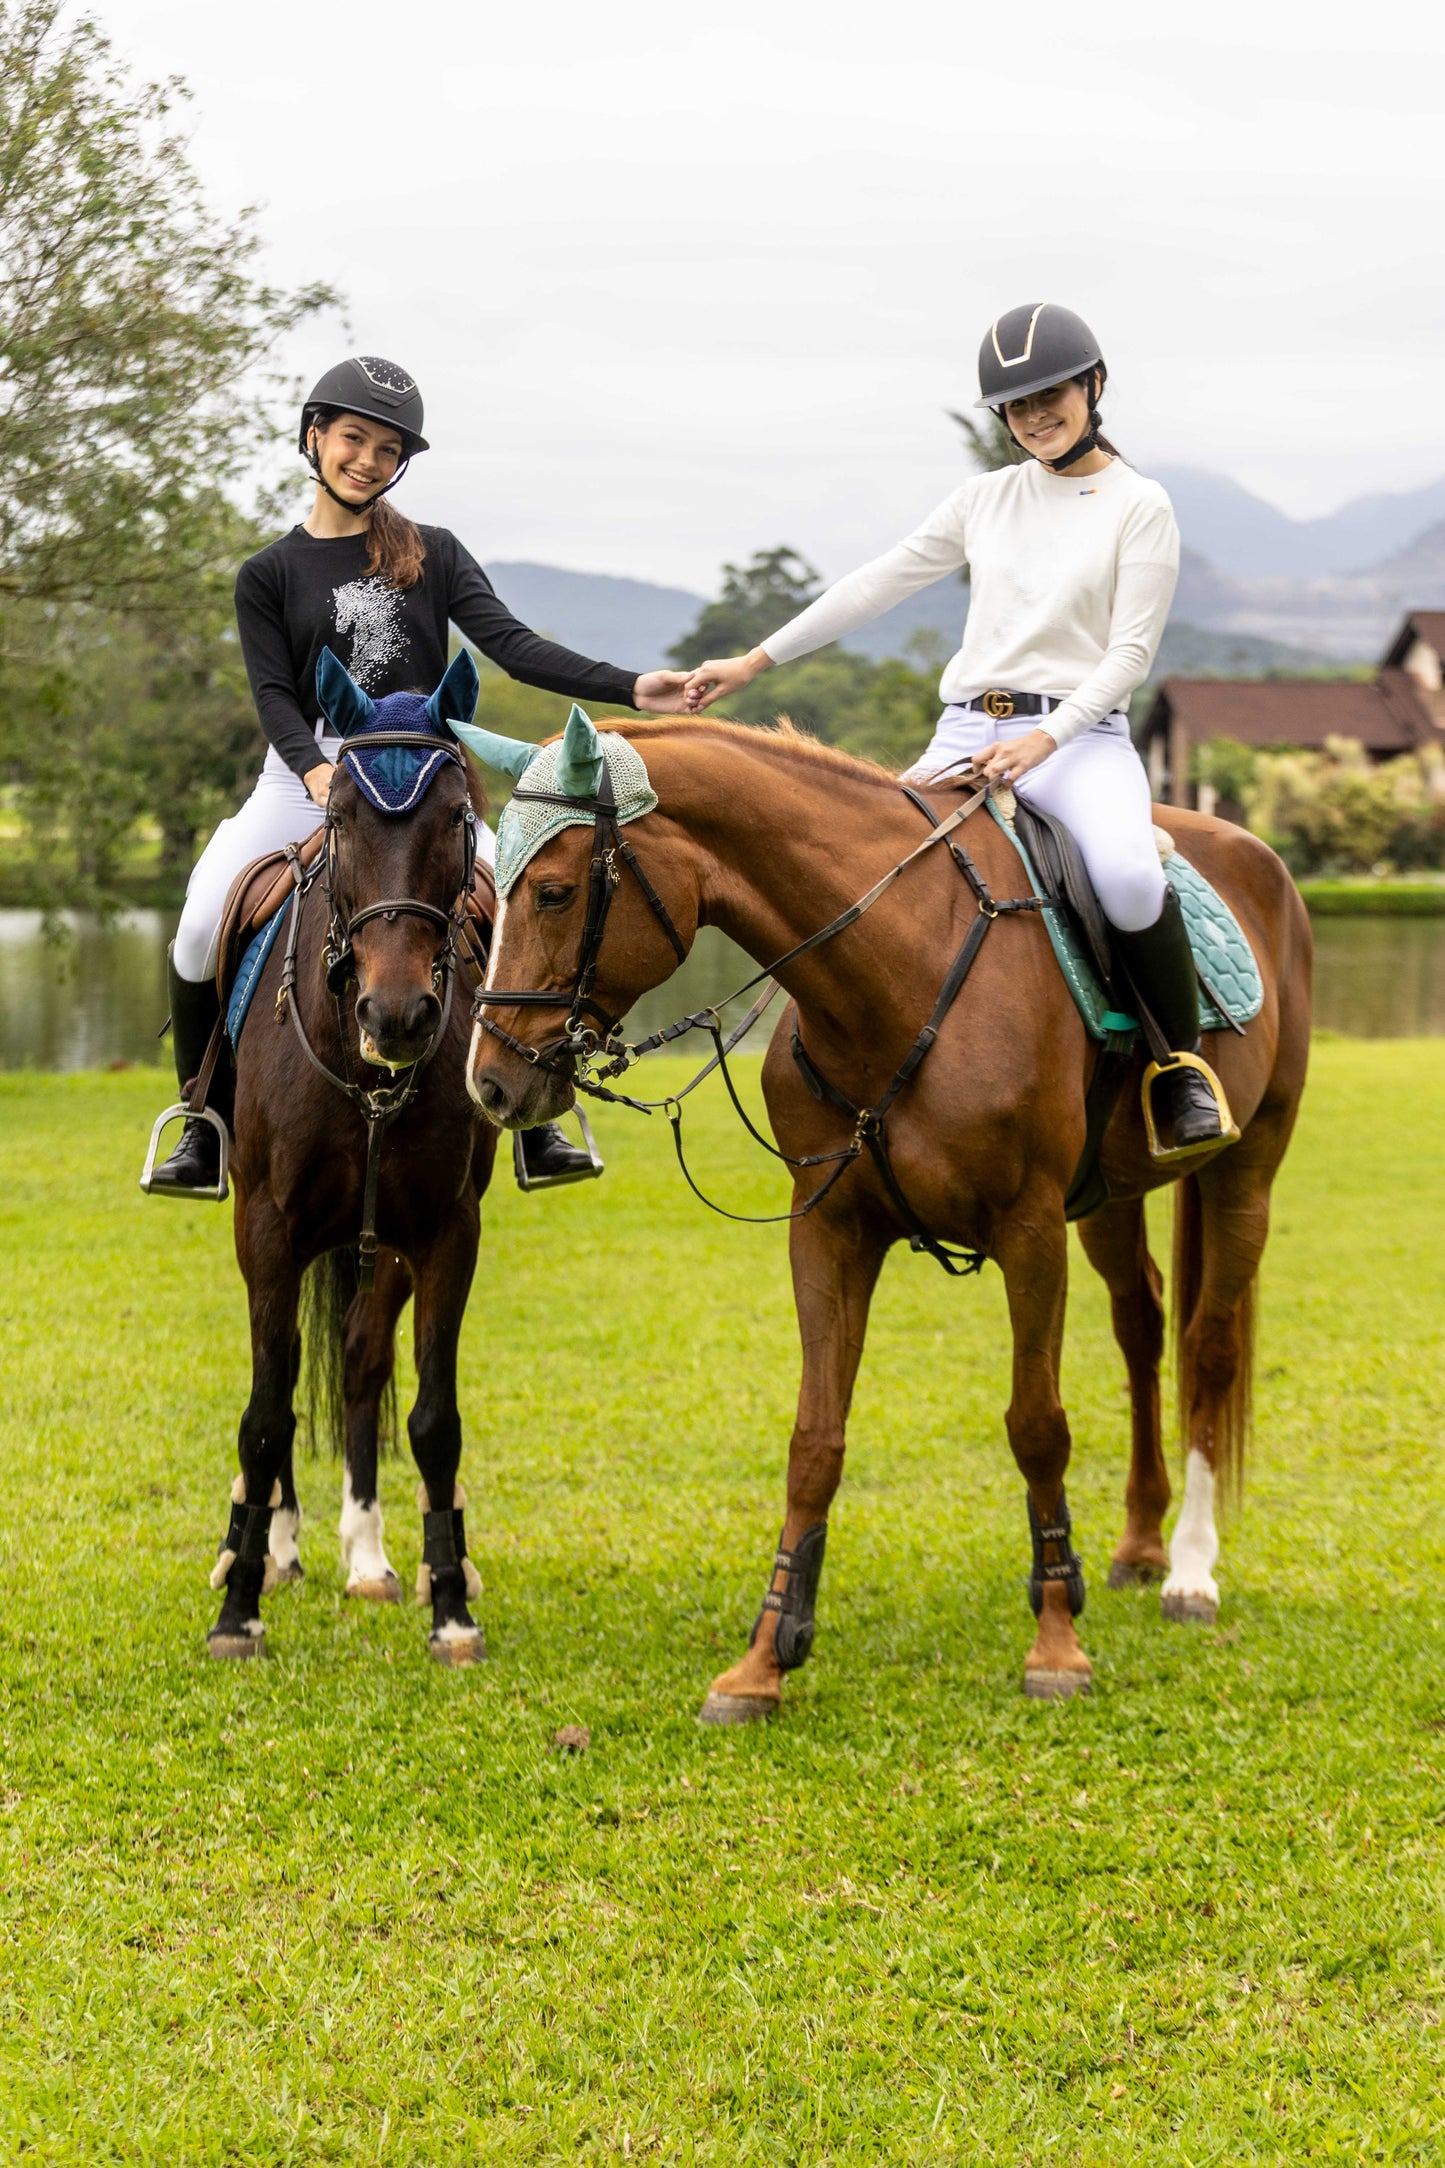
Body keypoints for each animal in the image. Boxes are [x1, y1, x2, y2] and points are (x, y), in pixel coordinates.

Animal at [204, 650, 498, 1664]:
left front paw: (450, 1610)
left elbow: (434, 1418)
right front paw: (238, 1610)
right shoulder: (268, 1231)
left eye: (455, 816)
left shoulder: (445, 1233)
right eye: (339, 821)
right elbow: (265, 1415)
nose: (397, 1015)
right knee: (289, 1380)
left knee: (363, 1361)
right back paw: (266, 1549)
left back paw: (373, 1559)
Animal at [465, 709, 1311, 1718]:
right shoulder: (829, 1229)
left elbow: (1037, 1426)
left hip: (1248, 1167)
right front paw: (764, 1657)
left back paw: (1188, 1570)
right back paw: (1141, 1544)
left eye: (553, 892)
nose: (490, 1082)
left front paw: (1055, 1645)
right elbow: (814, 1437)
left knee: (1209, 1346)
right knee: (1141, 1326)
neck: (894, 966)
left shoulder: (1029, 1230)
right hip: (1108, 1195)